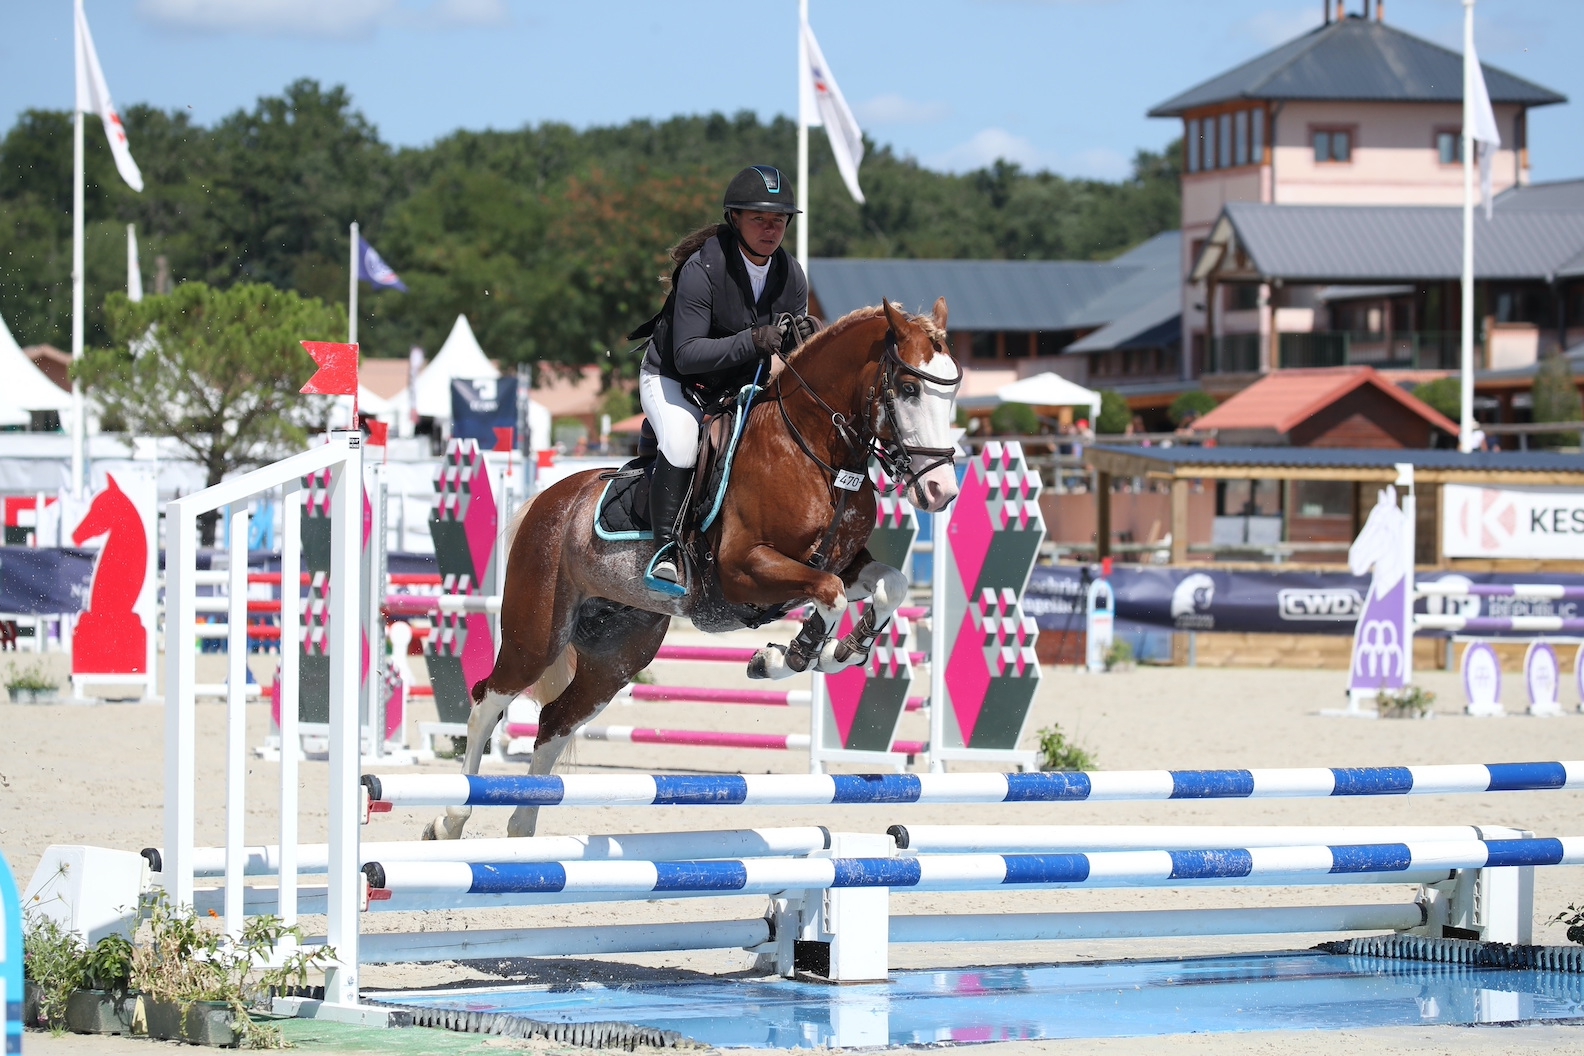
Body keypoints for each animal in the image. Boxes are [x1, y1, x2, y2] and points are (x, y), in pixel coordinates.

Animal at [427, 297, 956, 842]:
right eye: (909, 388)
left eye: (951, 391)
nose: (942, 493)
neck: (813, 451)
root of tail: (549, 500)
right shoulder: (744, 571)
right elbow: (827, 595)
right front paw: (786, 657)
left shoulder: (843, 565)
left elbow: (890, 586)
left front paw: (841, 650)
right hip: (537, 635)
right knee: (488, 700)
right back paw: (451, 820)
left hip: (617, 656)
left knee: (554, 721)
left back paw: (523, 826)